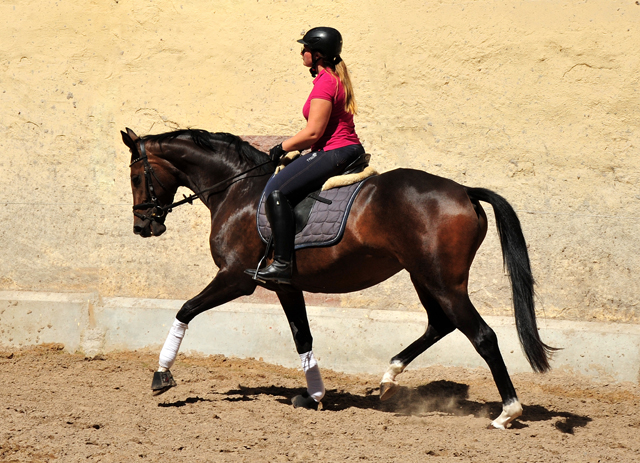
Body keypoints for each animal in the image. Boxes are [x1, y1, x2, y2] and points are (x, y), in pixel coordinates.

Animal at [121, 128, 556, 432]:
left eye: (136, 176)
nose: (142, 227)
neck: (238, 189)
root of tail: (464, 190)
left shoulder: (235, 279)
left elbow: (185, 310)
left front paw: (161, 375)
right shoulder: (285, 285)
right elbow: (303, 337)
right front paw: (314, 395)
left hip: (442, 281)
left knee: (482, 336)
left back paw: (508, 413)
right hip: (424, 276)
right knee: (439, 324)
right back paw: (388, 378)